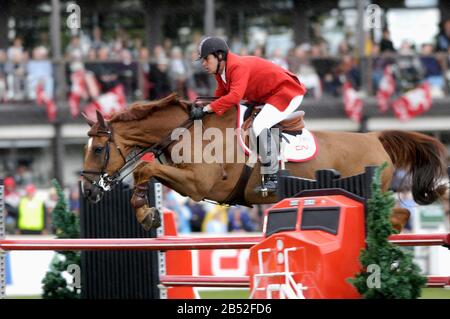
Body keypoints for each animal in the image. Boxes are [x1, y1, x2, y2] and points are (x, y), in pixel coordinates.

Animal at [80, 93, 446, 232]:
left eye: (98, 149)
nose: (86, 191)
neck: (189, 130)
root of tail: (375, 138)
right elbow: (147, 171)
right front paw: (147, 212)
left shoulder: (199, 185)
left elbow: (145, 167)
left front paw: (146, 213)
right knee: (400, 214)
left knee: (397, 215)